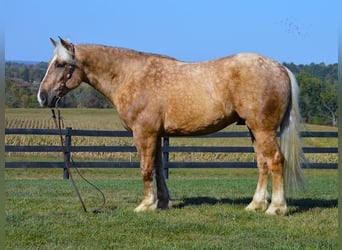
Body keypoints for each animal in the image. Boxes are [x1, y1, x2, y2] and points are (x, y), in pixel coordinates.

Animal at [36, 37, 304, 215]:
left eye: (60, 64)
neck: (129, 76)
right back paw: (255, 204)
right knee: (262, 164)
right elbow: (157, 168)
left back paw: (276, 208)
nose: (42, 97)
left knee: (276, 161)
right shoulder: (156, 135)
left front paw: (145, 205)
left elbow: (145, 169)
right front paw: (162, 202)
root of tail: (280, 67)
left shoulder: (143, 134)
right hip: (254, 130)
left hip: (263, 129)